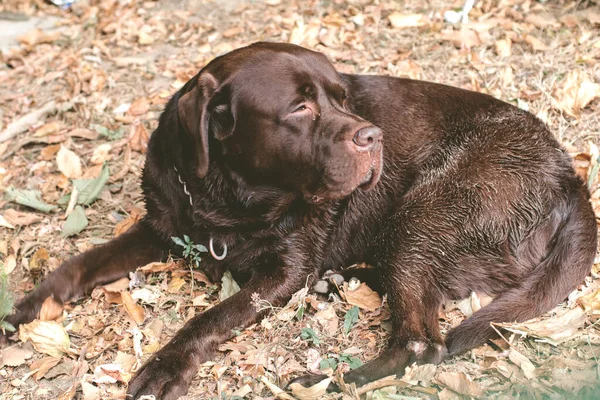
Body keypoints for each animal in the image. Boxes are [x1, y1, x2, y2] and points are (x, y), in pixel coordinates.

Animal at [2, 42, 596, 398]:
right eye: (299, 108)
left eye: (342, 99)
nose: (372, 135)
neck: (226, 200)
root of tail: (569, 175)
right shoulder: (164, 226)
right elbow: (82, 261)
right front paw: (31, 305)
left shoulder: (282, 271)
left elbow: (210, 317)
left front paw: (167, 366)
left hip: (423, 216)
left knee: (421, 344)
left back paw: (326, 379)